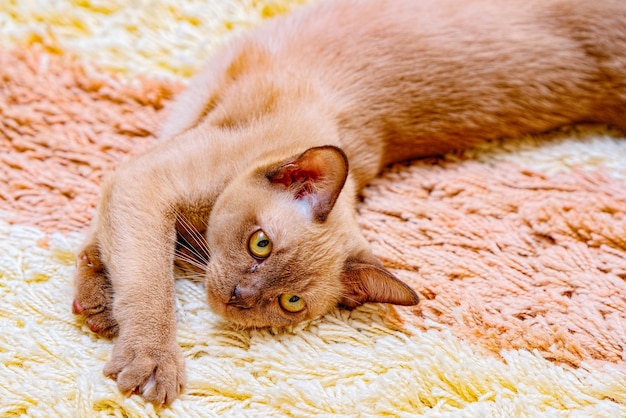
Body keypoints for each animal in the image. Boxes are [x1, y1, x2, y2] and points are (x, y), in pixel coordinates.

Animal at [69, 0, 624, 406]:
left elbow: (128, 249)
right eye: (260, 244)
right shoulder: (150, 180)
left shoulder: (152, 177)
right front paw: (147, 356)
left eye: (290, 303)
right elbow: (148, 277)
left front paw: (101, 305)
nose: (240, 299)